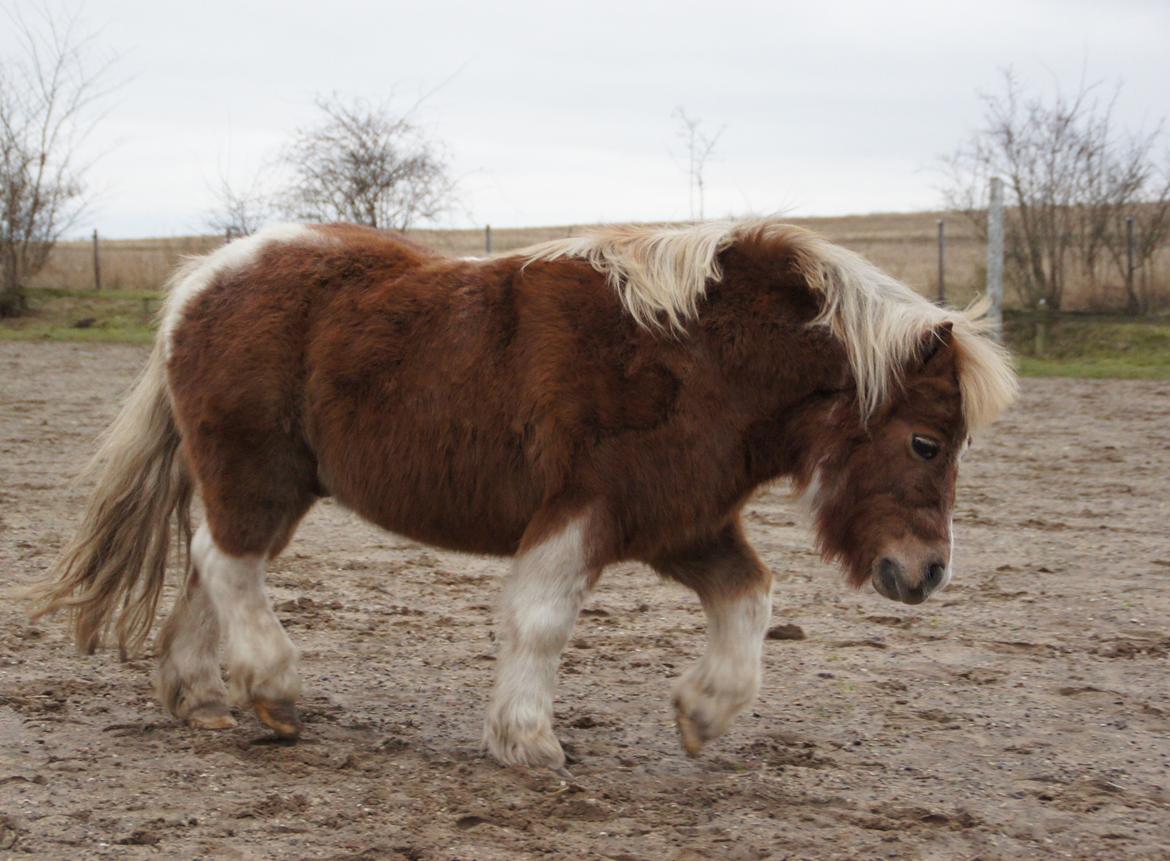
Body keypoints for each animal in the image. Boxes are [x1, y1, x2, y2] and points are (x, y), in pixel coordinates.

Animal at [27, 218, 1015, 772]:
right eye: (926, 441)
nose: (928, 572)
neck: (702, 358)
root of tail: (202, 281)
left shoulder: (680, 523)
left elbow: (750, 601)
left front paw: (702, 714)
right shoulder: (584, 513)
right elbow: (540, 621)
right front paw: (530, 742)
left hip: (272, 485)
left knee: (215, 565)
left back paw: (200, 695)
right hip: (257, 472)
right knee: (226, 563)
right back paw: (271, 688)